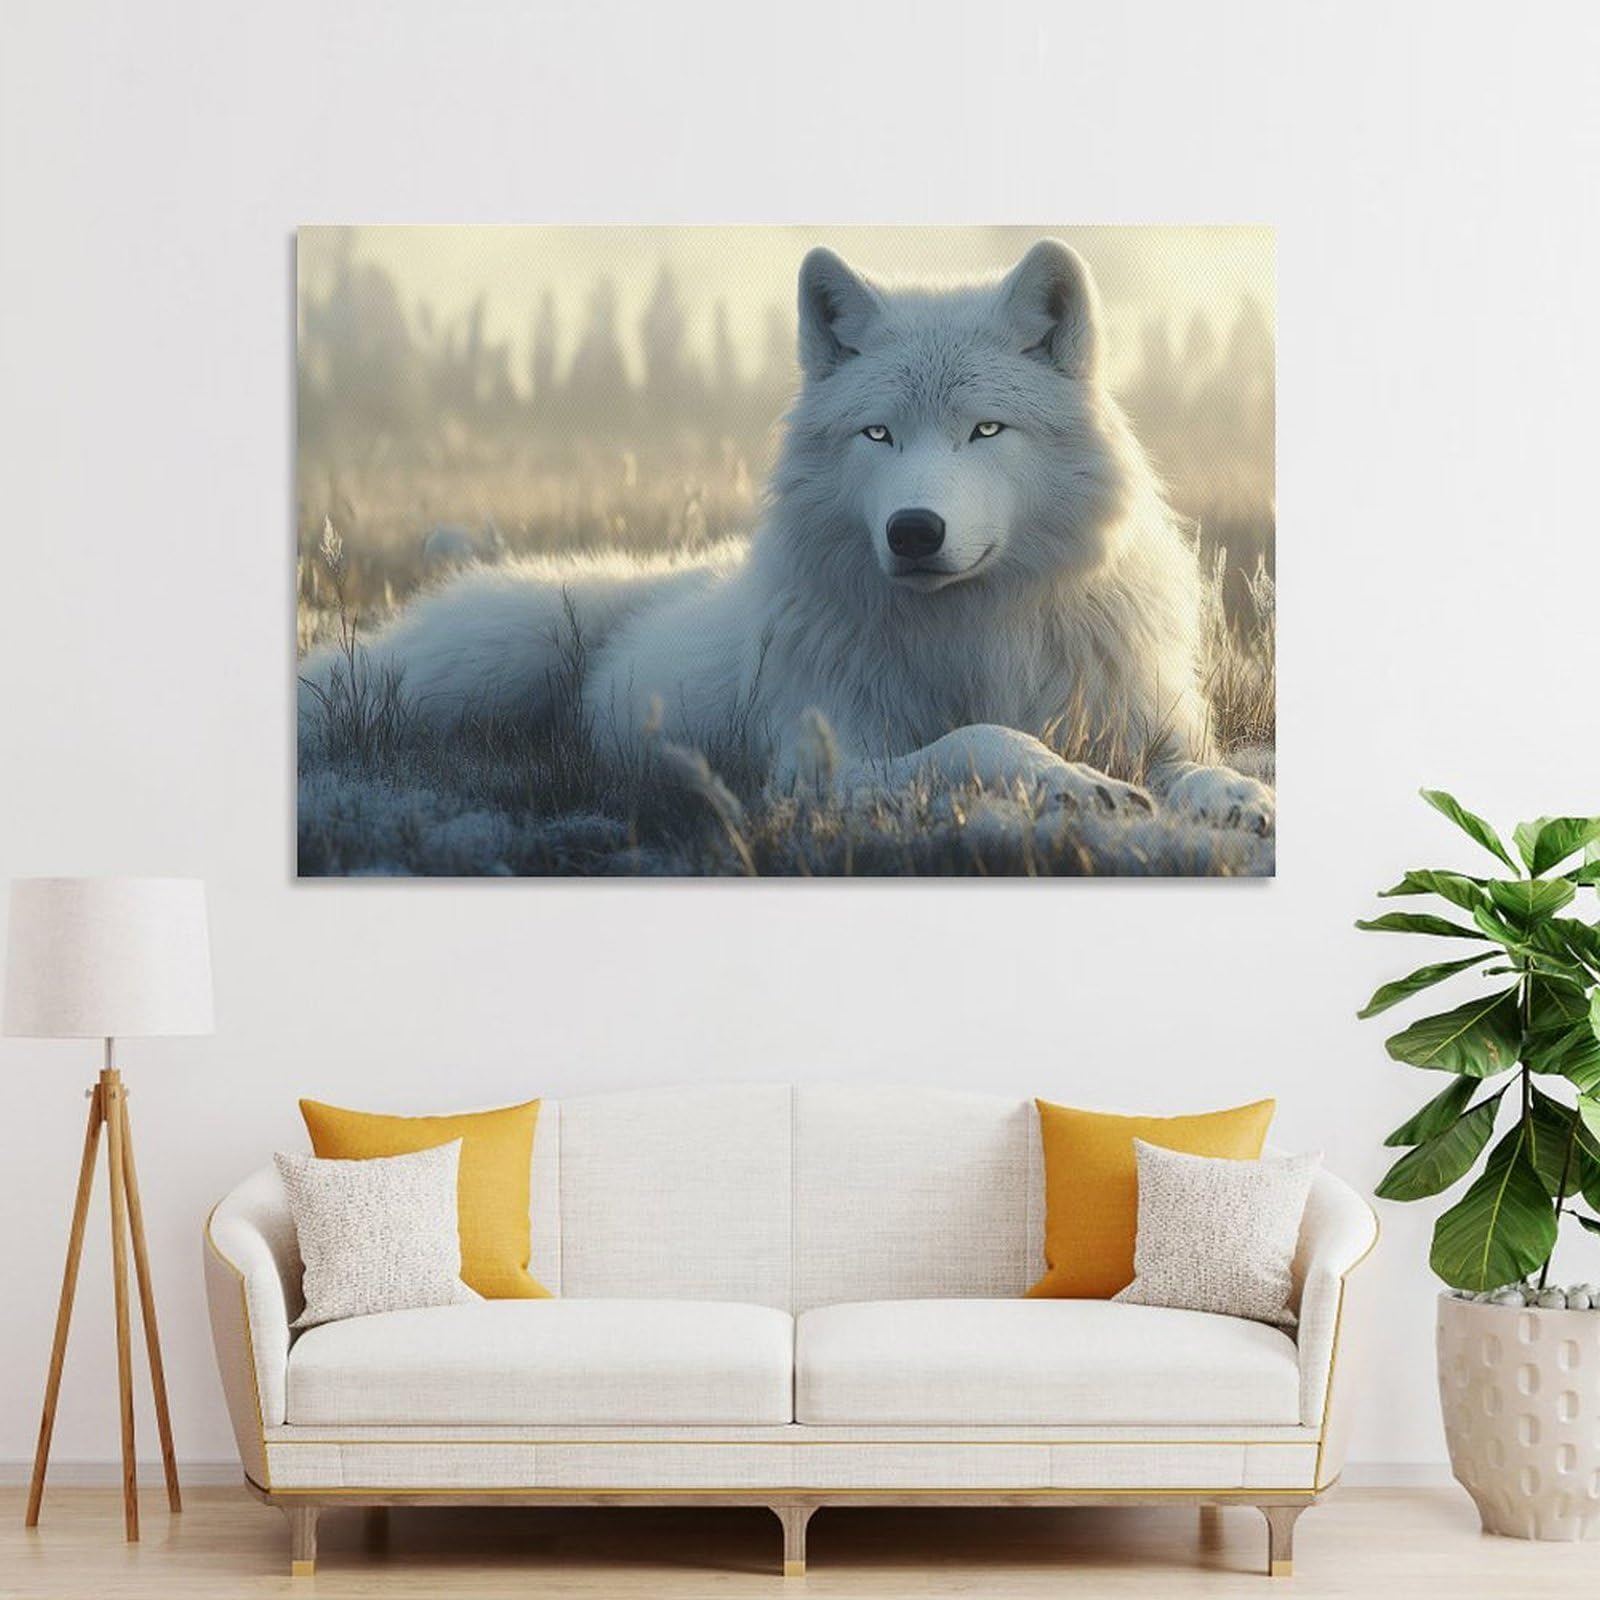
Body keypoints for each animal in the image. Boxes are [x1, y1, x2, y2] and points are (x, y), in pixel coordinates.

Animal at [301, 240, 1273, 832]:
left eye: (986, 431)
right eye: (878, 434)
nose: (914, 532)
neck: (974, 633)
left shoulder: (1155, 724)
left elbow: (1199, 769)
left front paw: (1237, 797)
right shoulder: (817, 766)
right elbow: (984, 740)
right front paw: (1077, 784)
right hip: (477, 669)